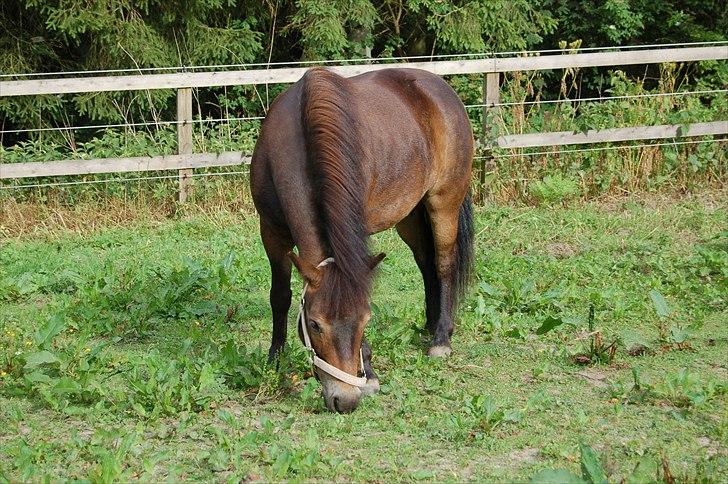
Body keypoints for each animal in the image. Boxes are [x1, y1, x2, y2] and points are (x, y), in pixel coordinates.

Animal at [250, 65, 474, 412]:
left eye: (366, 320)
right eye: (314, 324)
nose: (345, 400)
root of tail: (439, 88)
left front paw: (369, 374)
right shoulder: (271, 232)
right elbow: (280, 296)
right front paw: (275, 359)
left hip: (443, 201)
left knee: (443, 264)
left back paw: (440, 338)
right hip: (410, 214)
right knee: (426, 263)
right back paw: (430, 324)